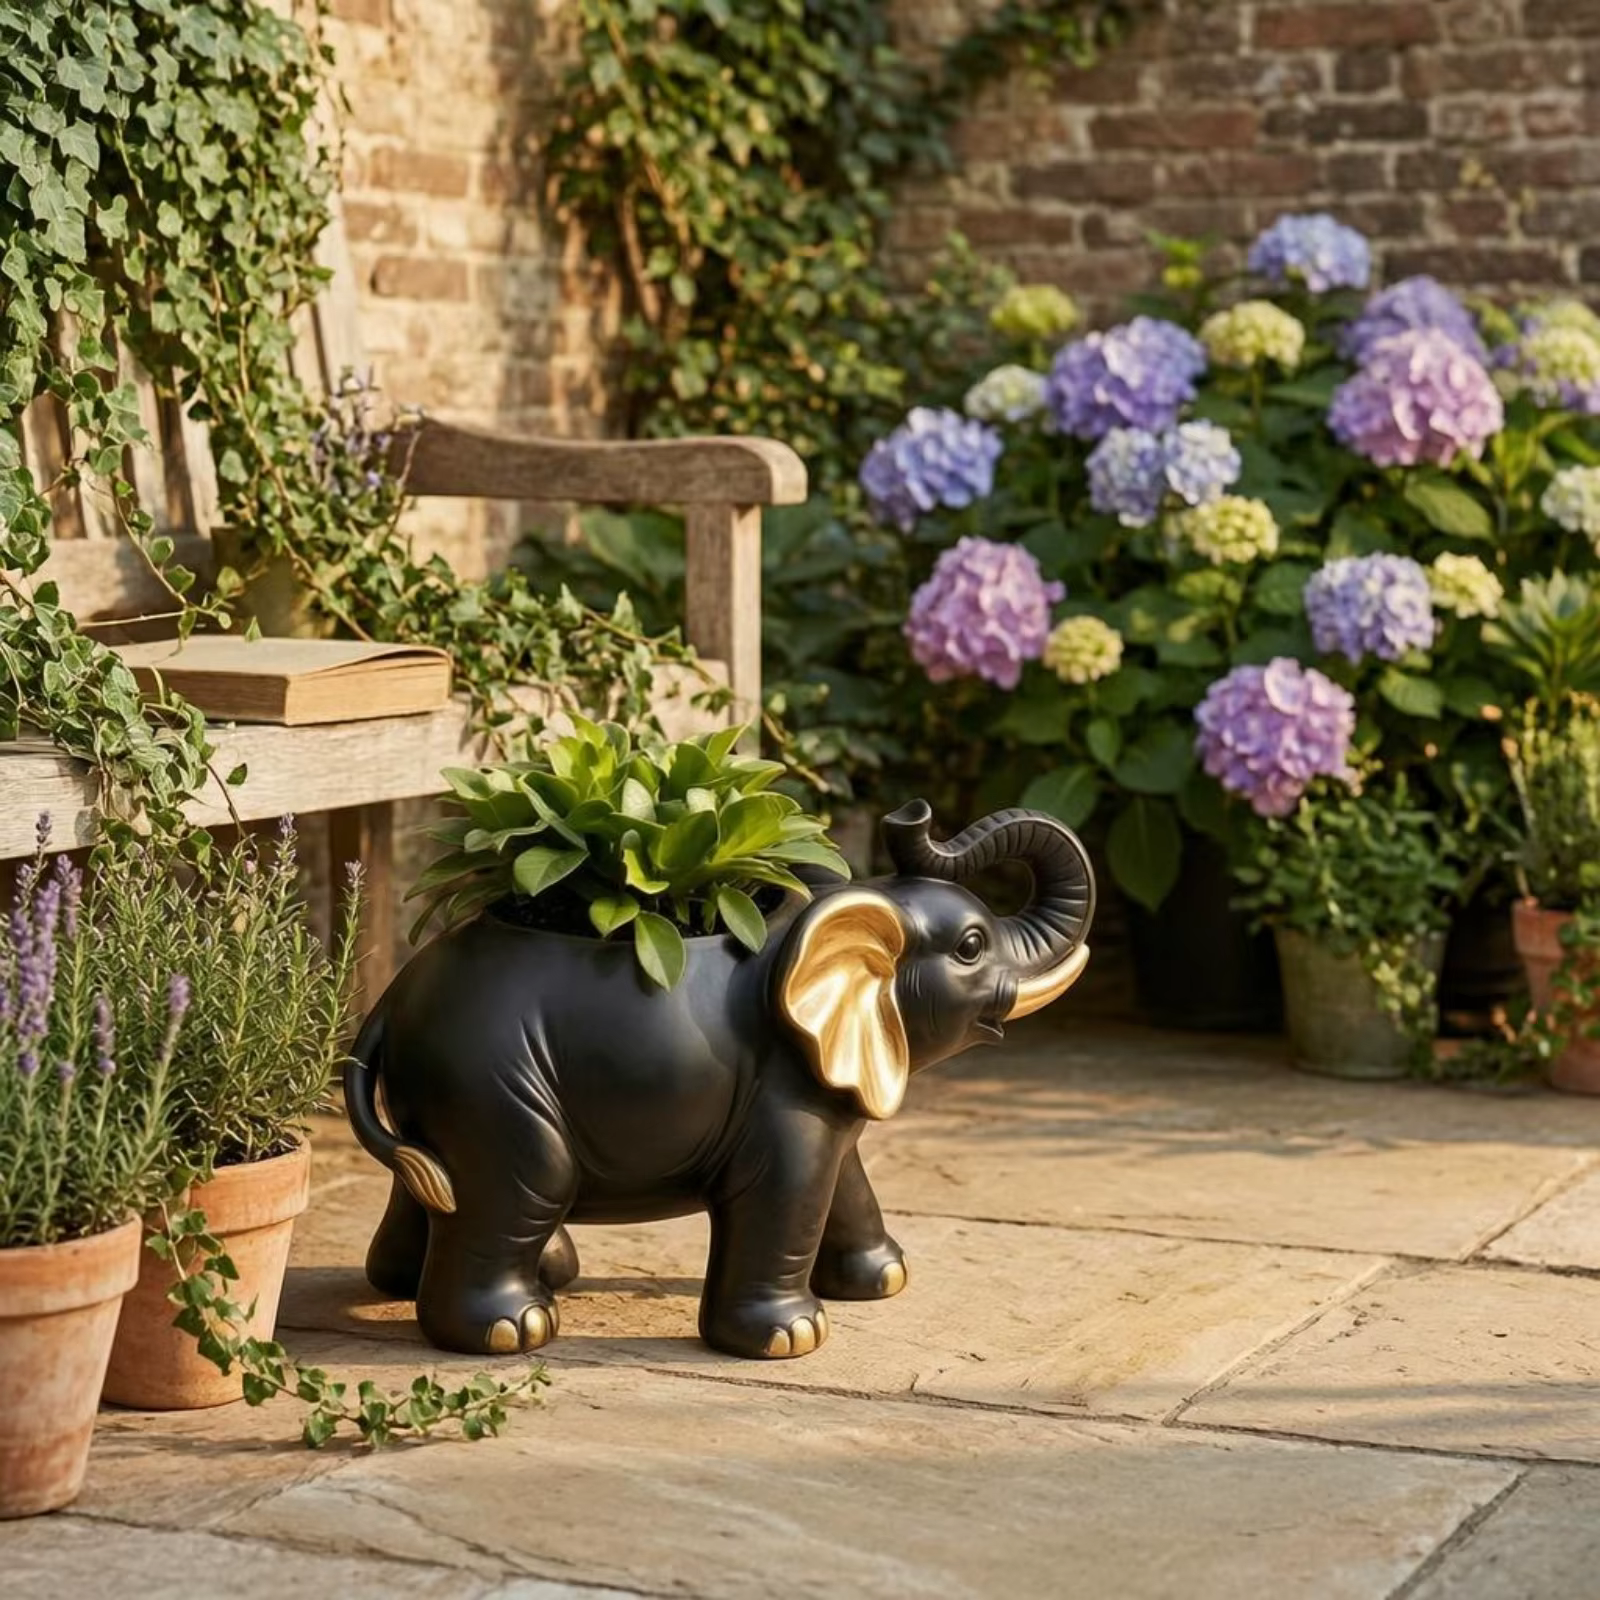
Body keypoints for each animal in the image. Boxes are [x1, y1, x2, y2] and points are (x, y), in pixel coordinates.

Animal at [343, 800, 1094, 1361]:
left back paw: (443, 1281)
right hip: (493, 1086)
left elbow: (842, 1172)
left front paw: (883, 1280)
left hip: (444, 1093)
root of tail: (392, 999)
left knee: (433, 1185)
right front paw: (793, 1339)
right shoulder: (782, 1089)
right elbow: (788, 1184)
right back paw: (515, 1330)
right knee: (527, 1179)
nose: (913, 812)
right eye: (971, 947)